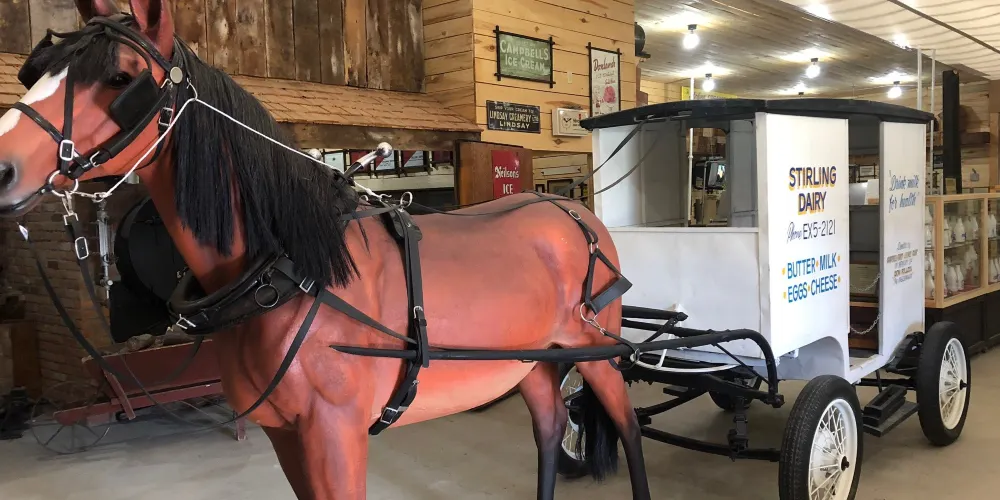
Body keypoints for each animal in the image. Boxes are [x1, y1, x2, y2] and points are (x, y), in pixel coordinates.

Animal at [0, 0, 651, 498]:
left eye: (120, 78)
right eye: (37, 70)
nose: (2, 168)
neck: (288, 271)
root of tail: (570, 209)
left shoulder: (335, 435)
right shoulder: (287, 435)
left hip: (597, 350)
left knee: (627, 430)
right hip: (534, 361)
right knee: (550, 428)